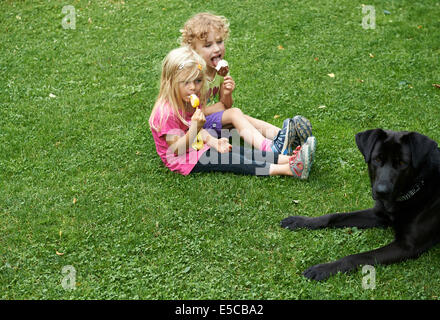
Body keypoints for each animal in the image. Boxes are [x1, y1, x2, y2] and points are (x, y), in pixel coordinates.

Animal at [282, 129, 440, 280]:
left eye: (402, 163)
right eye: (377, 159)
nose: (381, 191)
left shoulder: (408, 246)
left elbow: (359, 256)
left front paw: (324, 268)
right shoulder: (378, 215)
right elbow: (332, 217)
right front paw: (300, 221)